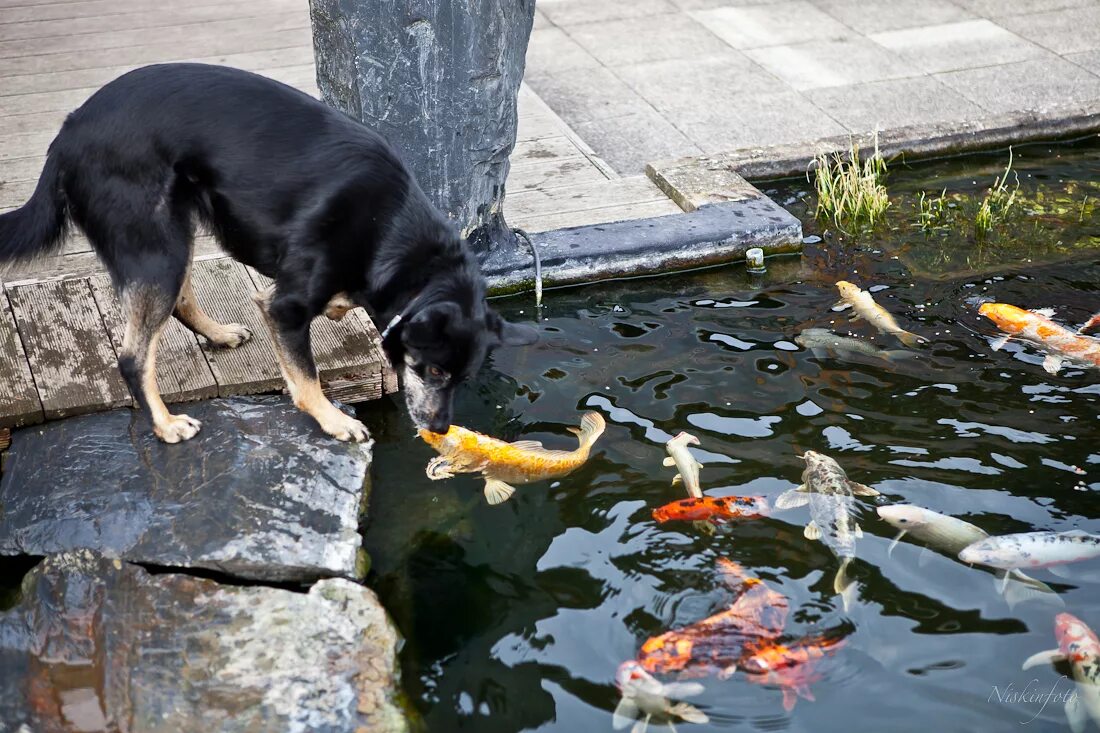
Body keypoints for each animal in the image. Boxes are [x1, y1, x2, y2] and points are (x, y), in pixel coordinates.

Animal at [0, 61, 536, 440]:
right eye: (436, 369)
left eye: (464, 378)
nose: (442, 429)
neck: (394, 233)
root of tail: (67, 134)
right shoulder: (286, 307)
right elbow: (307, 376)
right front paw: (334, 421)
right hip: (156, 244)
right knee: (134, 357)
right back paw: (166, 426)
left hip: (177, 227)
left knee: (179, 299)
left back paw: (218, 334)